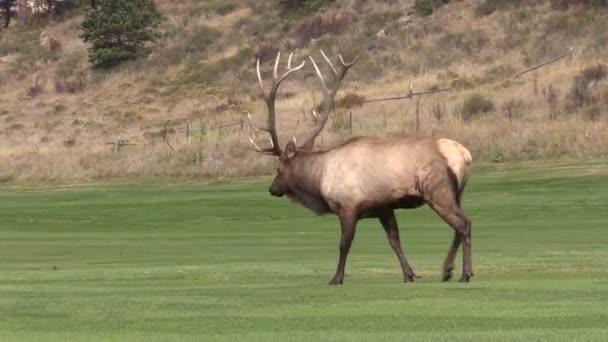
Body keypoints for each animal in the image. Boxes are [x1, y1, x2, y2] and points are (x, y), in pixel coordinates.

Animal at [248, 50, 476, 286]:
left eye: (279, 168)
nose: (272, 188)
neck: (320, 181)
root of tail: (464, 155)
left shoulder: (348, 207)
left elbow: (344, 244)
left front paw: (336, 277)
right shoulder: (384, 207)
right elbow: (394, 240)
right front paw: (409, 274)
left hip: (438, 191)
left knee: (464, 224)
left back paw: (465, 273)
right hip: (457, 193)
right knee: (458, 227)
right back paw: (447, 270)